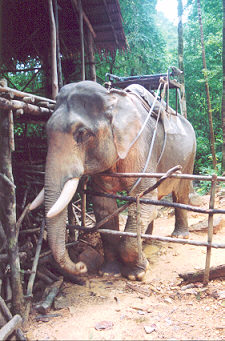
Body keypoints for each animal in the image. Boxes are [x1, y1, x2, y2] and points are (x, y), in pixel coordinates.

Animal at [30, 79, 197, 278]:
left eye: (82, 133)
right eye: (47, 131)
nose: (81, 266)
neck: (113, 99)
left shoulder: (142, 148)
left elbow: (142, 198)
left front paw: (136, 273)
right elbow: (104, 206)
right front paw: (109, 272)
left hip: (189, 156)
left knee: (180, 193)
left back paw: (179, 236)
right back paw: (147, 241)